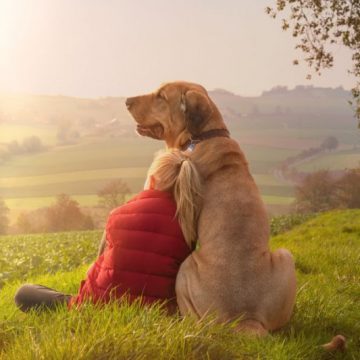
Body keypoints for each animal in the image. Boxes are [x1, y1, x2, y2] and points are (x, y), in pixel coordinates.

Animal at [126, 81, 296, 334]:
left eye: (161, 96)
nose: (126, 101)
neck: (203, 135)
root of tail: (246, 317)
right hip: (286, 256)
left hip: (186, 268)